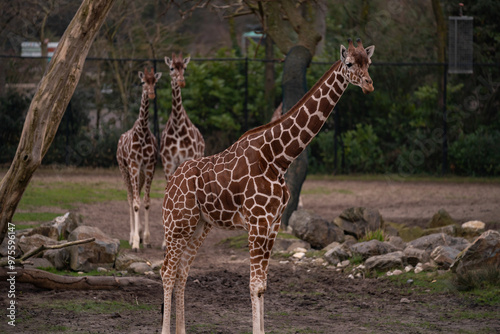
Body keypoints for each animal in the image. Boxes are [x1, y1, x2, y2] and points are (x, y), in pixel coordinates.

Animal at [160, 37, 376, 332]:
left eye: (369, 62)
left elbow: (262, 286)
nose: (368, 84)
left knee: (182, 270)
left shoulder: (272, 225)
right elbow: (254, 285)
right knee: (166, 271)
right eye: (350, 63)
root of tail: (170, 183)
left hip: (200, 225)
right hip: (177, 224)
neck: (277, 158)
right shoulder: (257, 223)